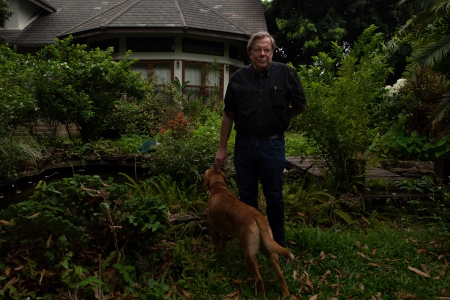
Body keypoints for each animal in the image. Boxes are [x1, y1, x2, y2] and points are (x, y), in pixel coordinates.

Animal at [204, 168, 296, 296]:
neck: (218, 187)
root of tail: (257, 217)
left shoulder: (214, 230)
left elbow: (216, 247)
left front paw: (216, 258)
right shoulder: (225, 233)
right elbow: (223, 244)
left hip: (249, 254)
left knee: (259, 279)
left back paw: (261, 295)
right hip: (269, 250)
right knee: (281, 275)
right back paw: (286, 294)